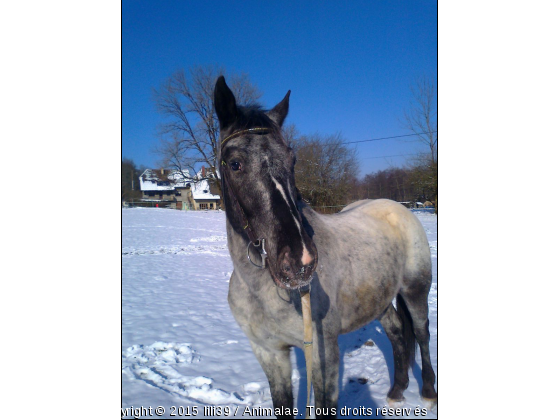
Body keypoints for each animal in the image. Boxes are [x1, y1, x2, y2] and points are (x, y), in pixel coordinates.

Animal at [214, 77, 438, 418]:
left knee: (422, 332)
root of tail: (397, 207)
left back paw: (427, 392)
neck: (261, 290)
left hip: (415, 289)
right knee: (398, 331)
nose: (300, 261)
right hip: (381, 299)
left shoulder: (324, 357)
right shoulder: (270, 353)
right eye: (236, 164)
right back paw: (397, 391)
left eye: (292, 159)